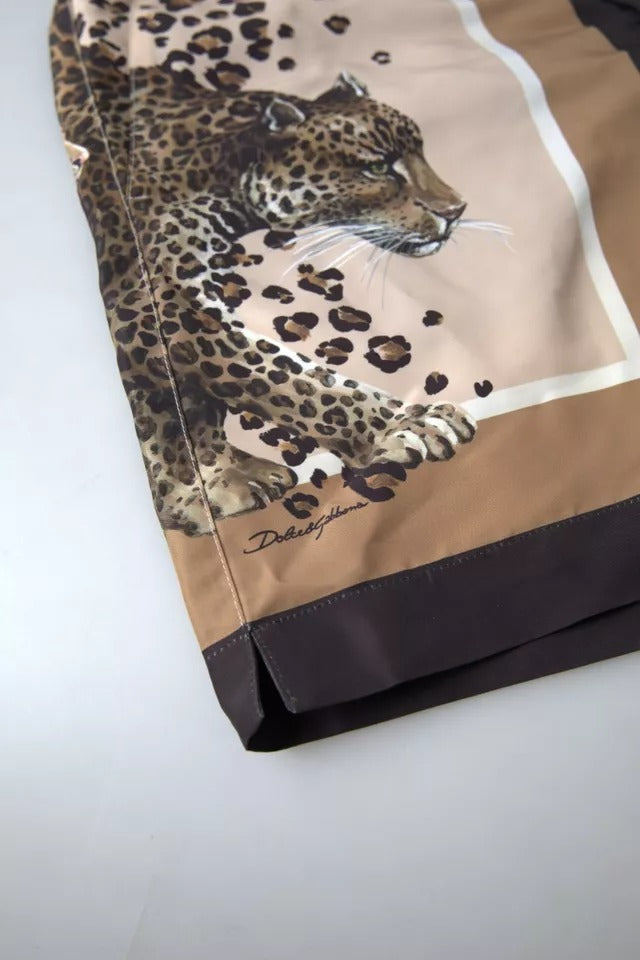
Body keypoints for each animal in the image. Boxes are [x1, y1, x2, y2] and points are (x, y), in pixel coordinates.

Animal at [50, 0, 477, 536]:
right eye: (378, 168)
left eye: (421, 150)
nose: (456, 209)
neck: (223, 163)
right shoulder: (153, 302)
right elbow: (290, 377)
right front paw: (404, 424)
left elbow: (183, 405)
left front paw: (213, 483)